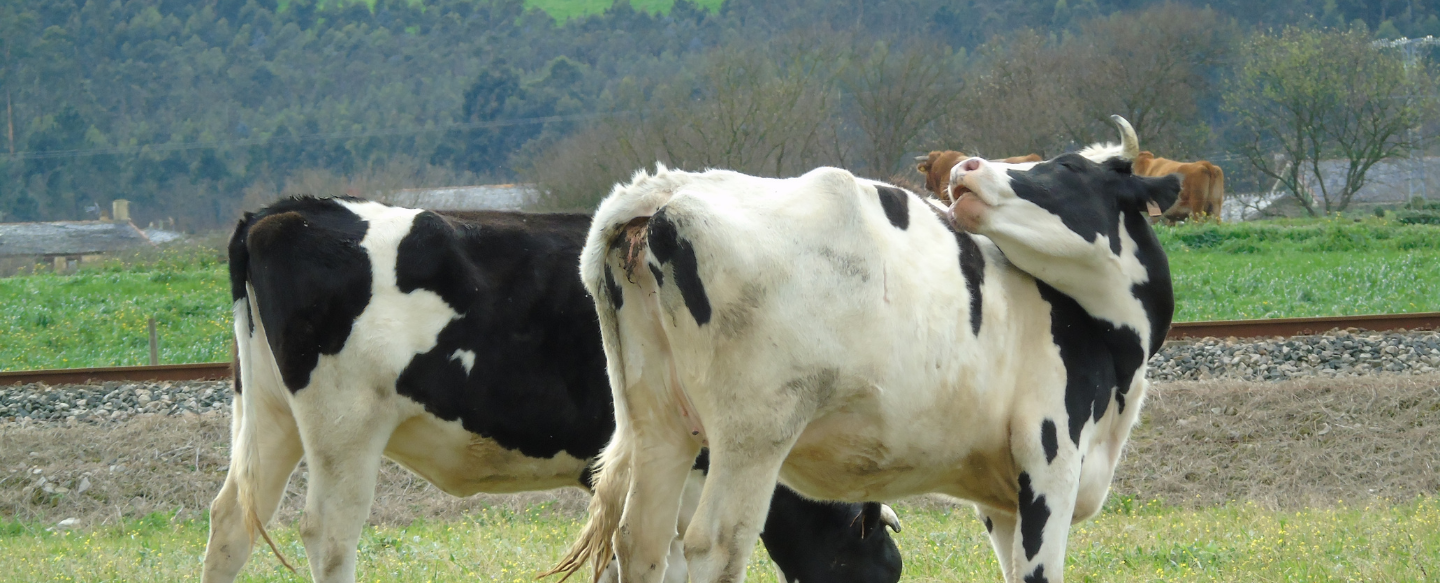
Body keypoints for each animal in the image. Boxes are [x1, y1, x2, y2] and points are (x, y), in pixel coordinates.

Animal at [202, 200, 904, 583]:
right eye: (889, 570)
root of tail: (281, 212)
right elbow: (662, 553)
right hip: (344, 426)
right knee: (328, 534)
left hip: (268, 415)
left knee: (232, 520)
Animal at [551, 116, 1180, 583]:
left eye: (1067, 167)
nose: (968, 166)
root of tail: (670, 185)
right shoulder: (1049, 462)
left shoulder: (1001, 499)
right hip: (752, 435)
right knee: (713, 545)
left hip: (659, 426)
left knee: (641, 543)